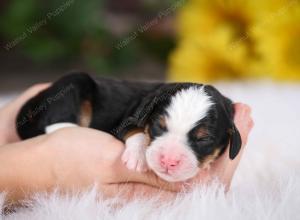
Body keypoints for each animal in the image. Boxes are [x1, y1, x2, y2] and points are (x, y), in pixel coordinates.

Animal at [15, 72, 241, 182]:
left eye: (203, 139)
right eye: (158, 126)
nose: (168, 160)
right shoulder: (126, 119)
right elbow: (136, 129)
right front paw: (138, 156)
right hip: (72, 84)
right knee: (56, 123)